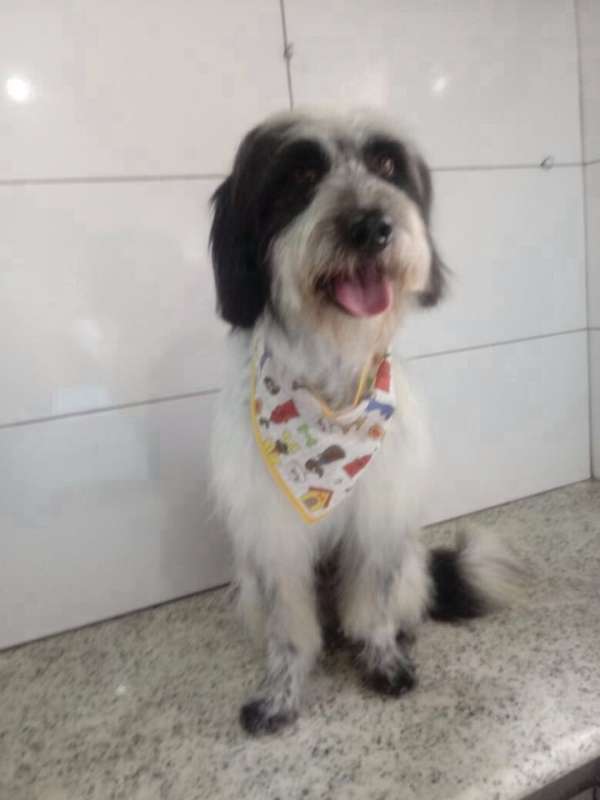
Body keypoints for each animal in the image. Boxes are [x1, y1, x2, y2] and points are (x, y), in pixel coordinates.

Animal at [209, 110, 522, 735]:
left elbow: (372, 601)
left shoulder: (381, 517)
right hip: (248, 584)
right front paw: (281, 691)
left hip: (410, 560)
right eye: (299, 175)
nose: (372, 226)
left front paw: (381, 656)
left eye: (385, 165)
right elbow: (288, 628)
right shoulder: (271, 536)